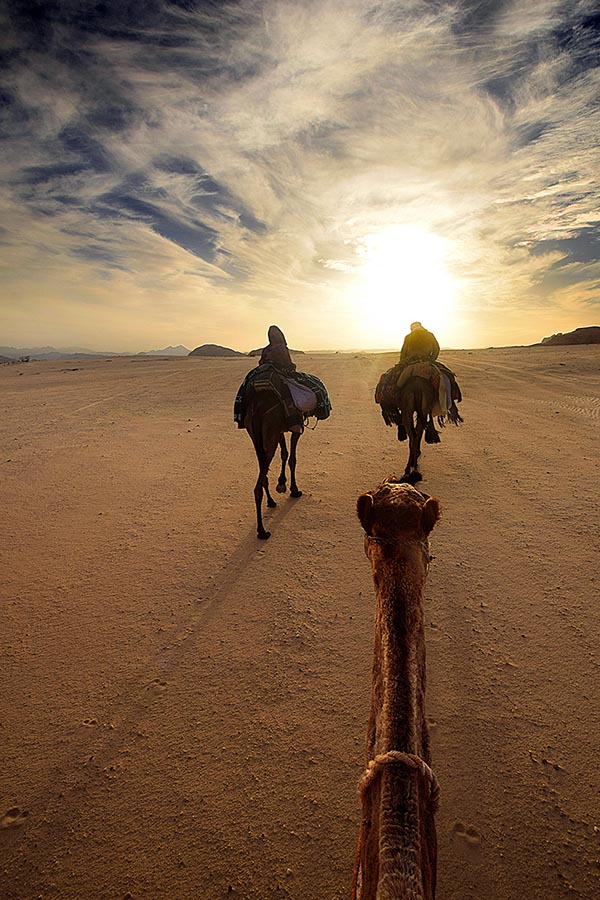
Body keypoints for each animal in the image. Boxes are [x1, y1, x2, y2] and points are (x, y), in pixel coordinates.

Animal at [243, 384, 302, 540]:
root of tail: (257, 407)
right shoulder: (296, 428)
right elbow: (292, 458)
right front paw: (294, 489)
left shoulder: (280, 430)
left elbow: (285, 453)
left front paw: (282, 482)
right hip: (270, 432)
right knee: (258, 484)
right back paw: (262, 531)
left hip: (257, 436)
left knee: (263, 470)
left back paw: (271, 501)